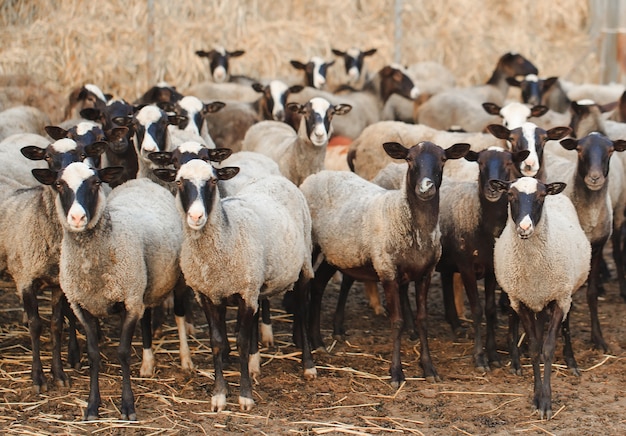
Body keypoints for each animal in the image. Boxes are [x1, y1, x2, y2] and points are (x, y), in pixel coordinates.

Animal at [32, 163, 188, 418]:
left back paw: (186, 361)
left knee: (180, 314)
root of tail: (142, 181)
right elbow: (93, 353)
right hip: (142, 285)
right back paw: (148, 362)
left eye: (95, 183)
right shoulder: (80, 305)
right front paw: (92, 406)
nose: (77, 217)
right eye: (58, 184)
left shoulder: (130, 301)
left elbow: (123, 352)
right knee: (146, 315)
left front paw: (128, 407)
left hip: (173, 278)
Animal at [152, 158, 316, 410]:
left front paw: (245, 395)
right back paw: (255, 363)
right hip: (256, 280)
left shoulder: (244, 294)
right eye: (179, 181)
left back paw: (308, 365)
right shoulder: (207, 294)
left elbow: (241, 342)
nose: (196, 216)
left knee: (303, 309)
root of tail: (277, 179)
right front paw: (219, 395)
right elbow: (217, 342)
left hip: (303, 265)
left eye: (213, 181)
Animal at [298, 140, 468, 384]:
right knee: (303, 293)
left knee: (318, 284)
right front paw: (396, 373)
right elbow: (396, 322)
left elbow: (422, 319)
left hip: (335, 252)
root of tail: (316, 176)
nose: (425, 189)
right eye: (409, 159)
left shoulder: (425, 274)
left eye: (443, 159)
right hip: (310, 245)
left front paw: (429, 368)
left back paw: (318, 341)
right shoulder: (387, 271)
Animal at [488, 176, 588, 418]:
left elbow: (549, 349)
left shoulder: (560, 298)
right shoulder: (520, 301)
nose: (524, 227)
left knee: (566, 324)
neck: (534, 268)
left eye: (541, 196)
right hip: (534, 299)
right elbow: (534, 348)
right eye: (510, 195)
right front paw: (536, 397)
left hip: (566, 292)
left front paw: (547, 402)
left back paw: (571, 362)